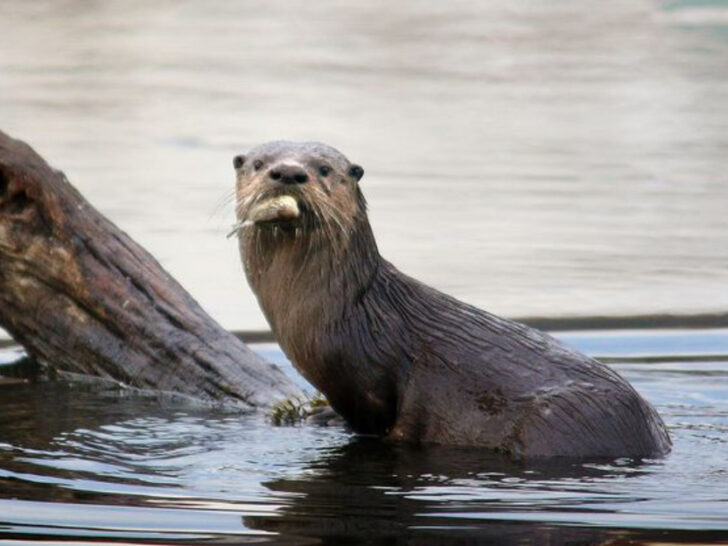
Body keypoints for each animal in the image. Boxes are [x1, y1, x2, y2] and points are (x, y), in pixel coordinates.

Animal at [232, 141, 671, 459]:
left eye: (324, 169)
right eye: (259, 163)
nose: (289, 171)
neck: (350, 313)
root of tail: (656, 438)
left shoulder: (371, 382)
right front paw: (321, 414)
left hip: (559, 421)